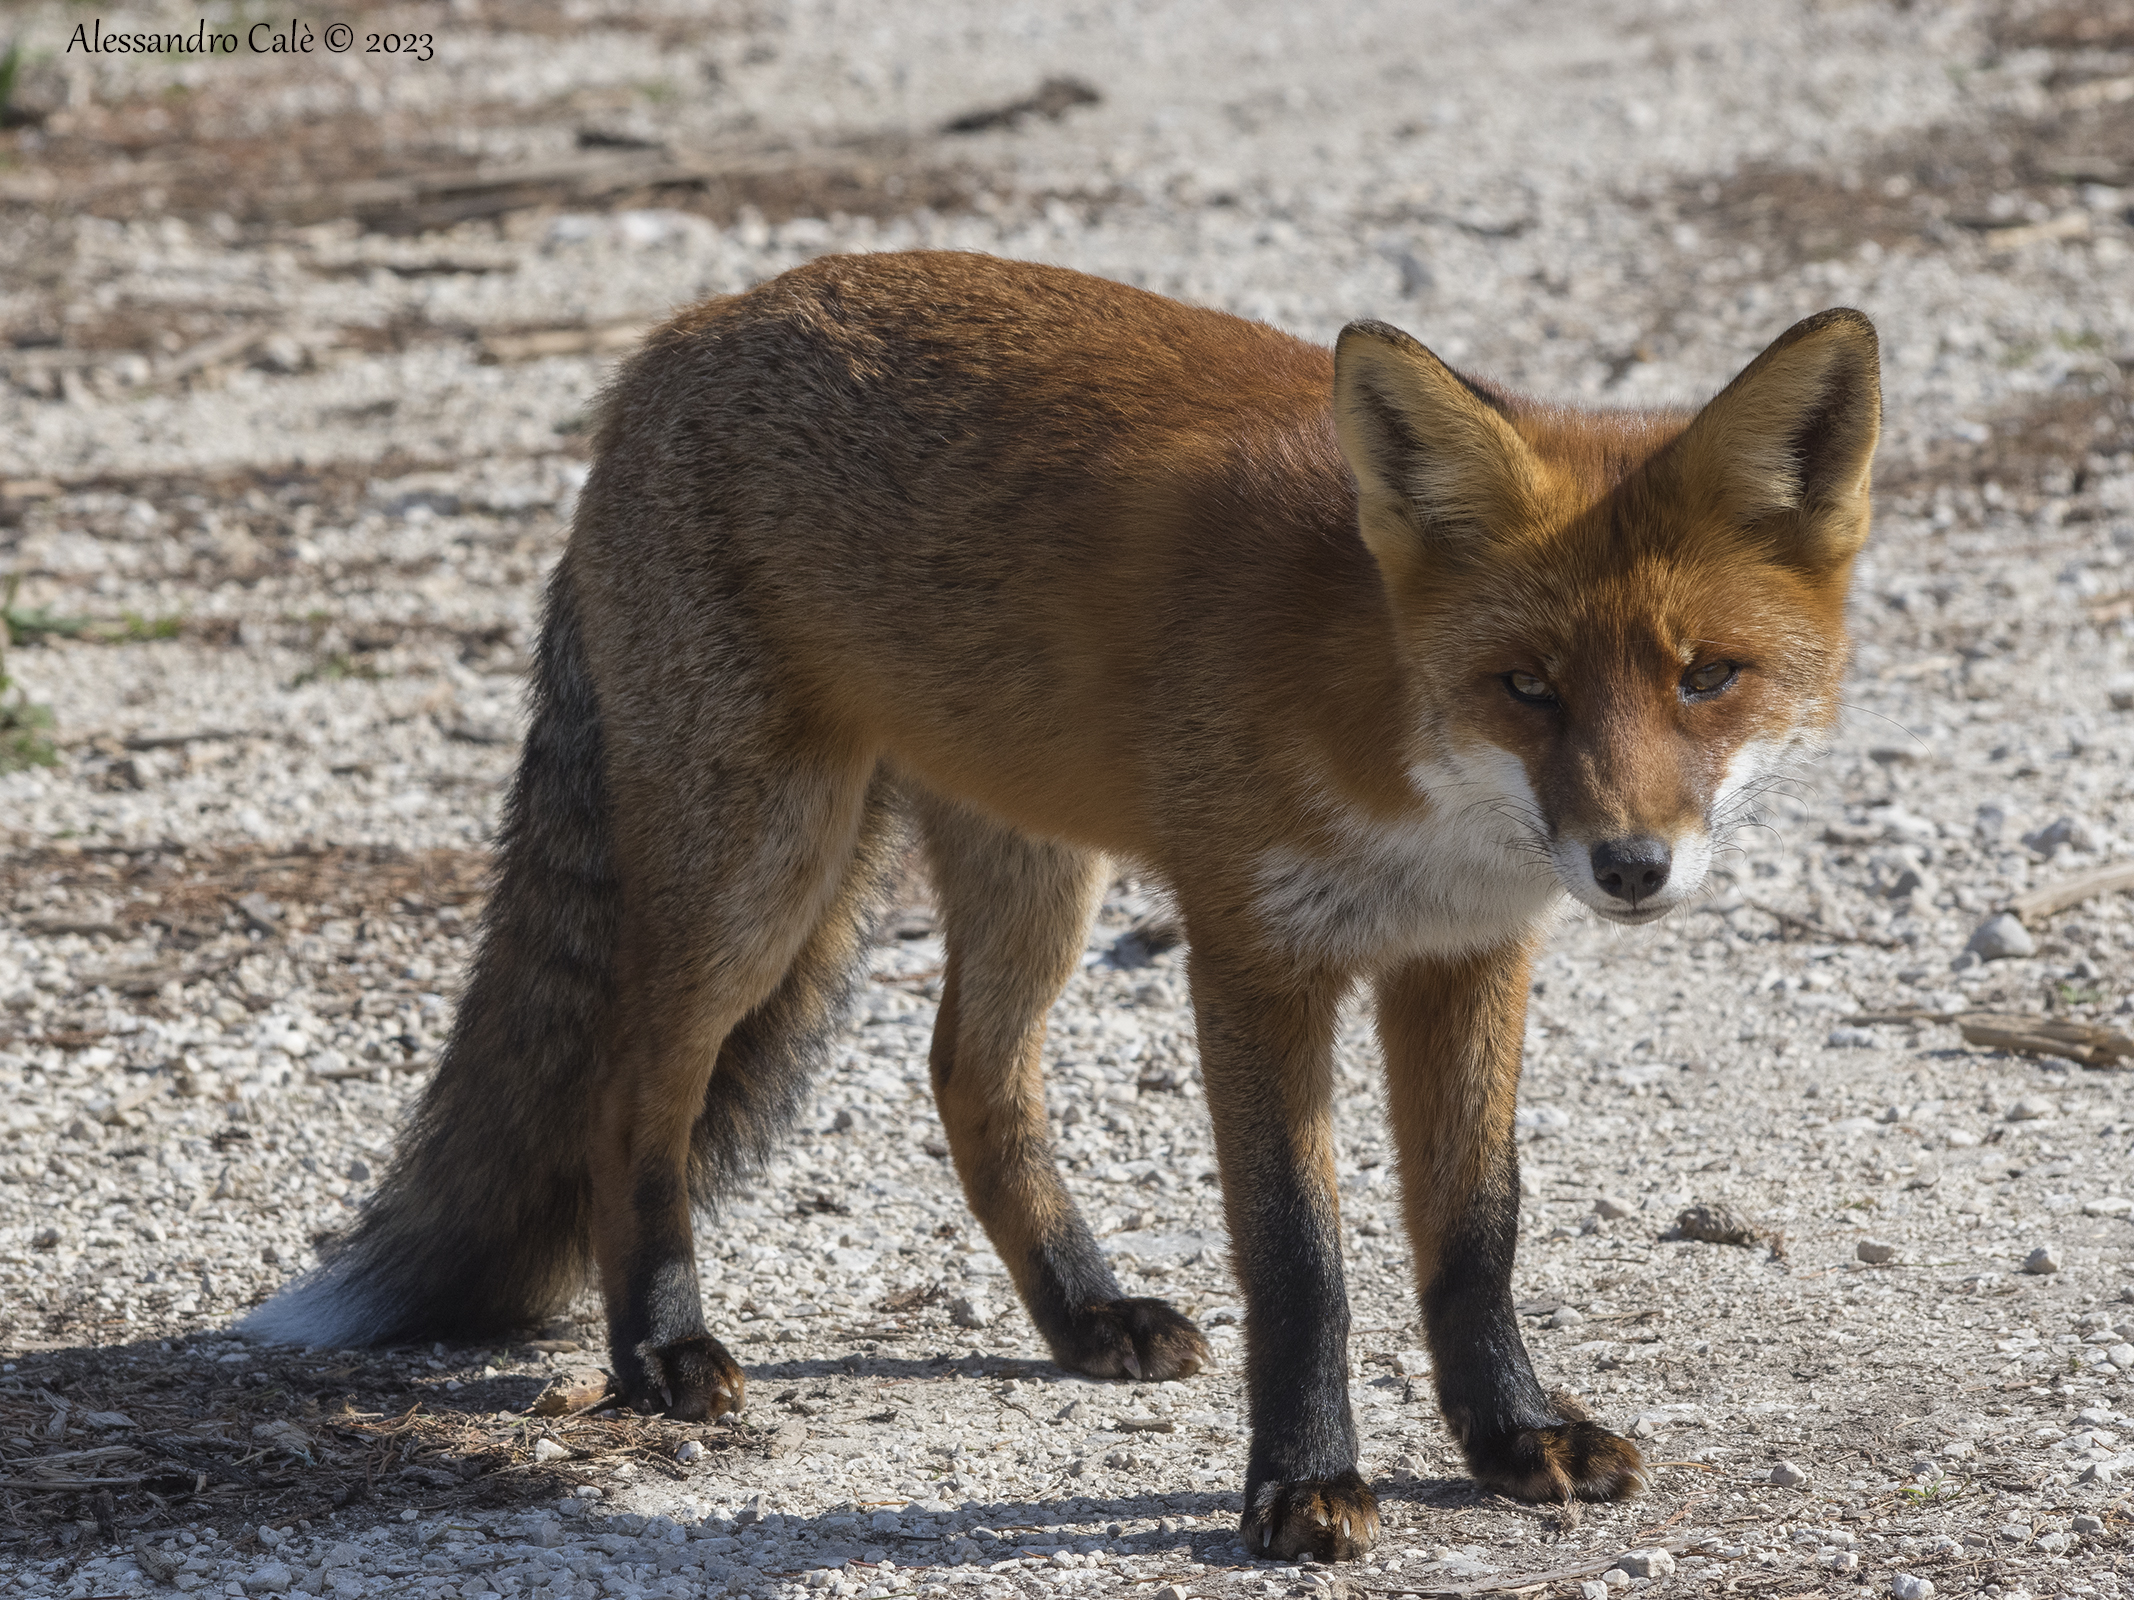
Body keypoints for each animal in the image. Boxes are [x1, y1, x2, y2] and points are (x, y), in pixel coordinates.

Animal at [245, 250, 1879, 1561]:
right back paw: (662, 1348)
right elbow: (1301, 1259)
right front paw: (1303, 1487)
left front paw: (1509, 1438)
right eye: (1525, 687)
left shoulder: (1465, 955)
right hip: (759, 872)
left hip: (1034, 871)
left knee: (966, 1075)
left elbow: (1476, 1233)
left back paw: (1078, 1314)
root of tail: (680, 332)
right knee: (631, 1088)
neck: (1408, 774)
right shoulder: (1252, 953)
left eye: (1706, 677)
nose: (1630, 867)